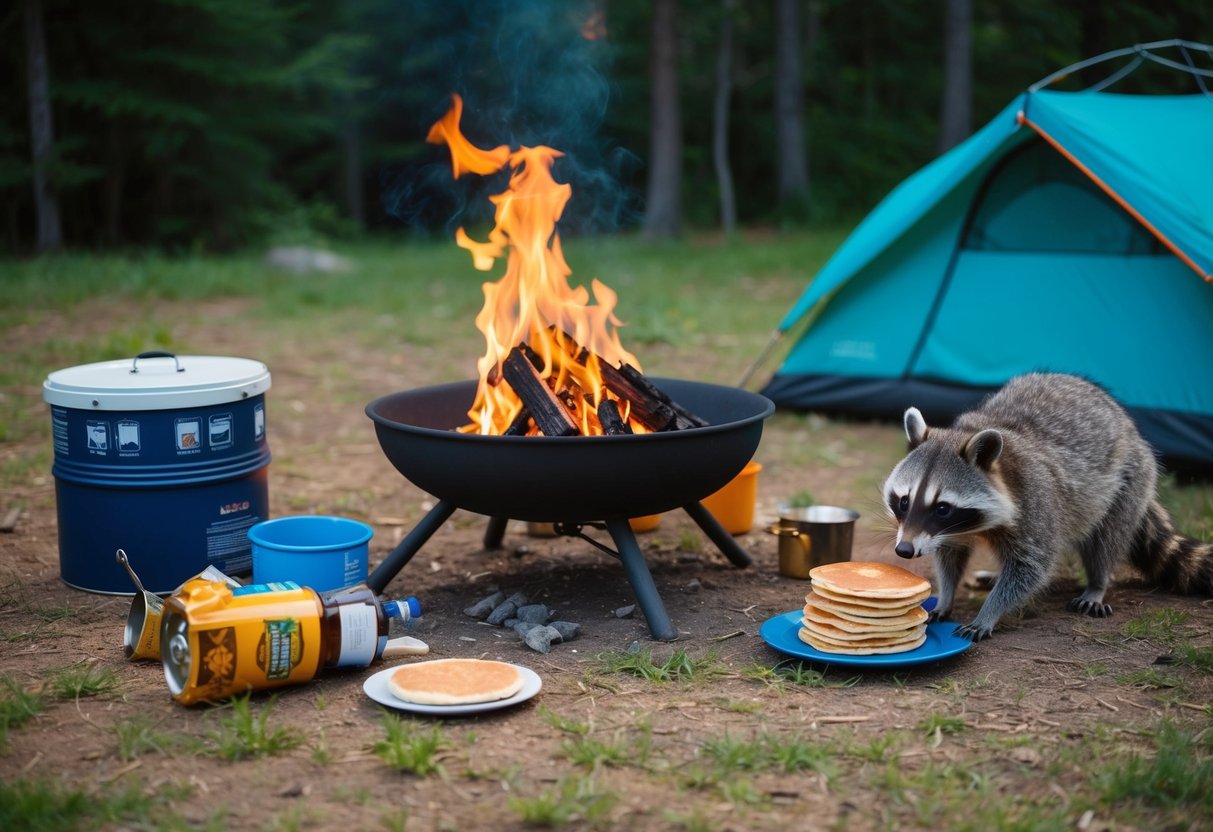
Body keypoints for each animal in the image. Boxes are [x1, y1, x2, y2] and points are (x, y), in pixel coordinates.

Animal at [882, 373, 1213, 641]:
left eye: (942, 508)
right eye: (904, 501)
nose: (905, 550)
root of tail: (1130, 428)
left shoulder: (1036, 500)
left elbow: (1031, 566)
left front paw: (989, 612)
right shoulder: (947, 531)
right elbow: (951, 556)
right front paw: (946, 597)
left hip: (1130, 480)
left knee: (1105, 540)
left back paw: (1097, 582)